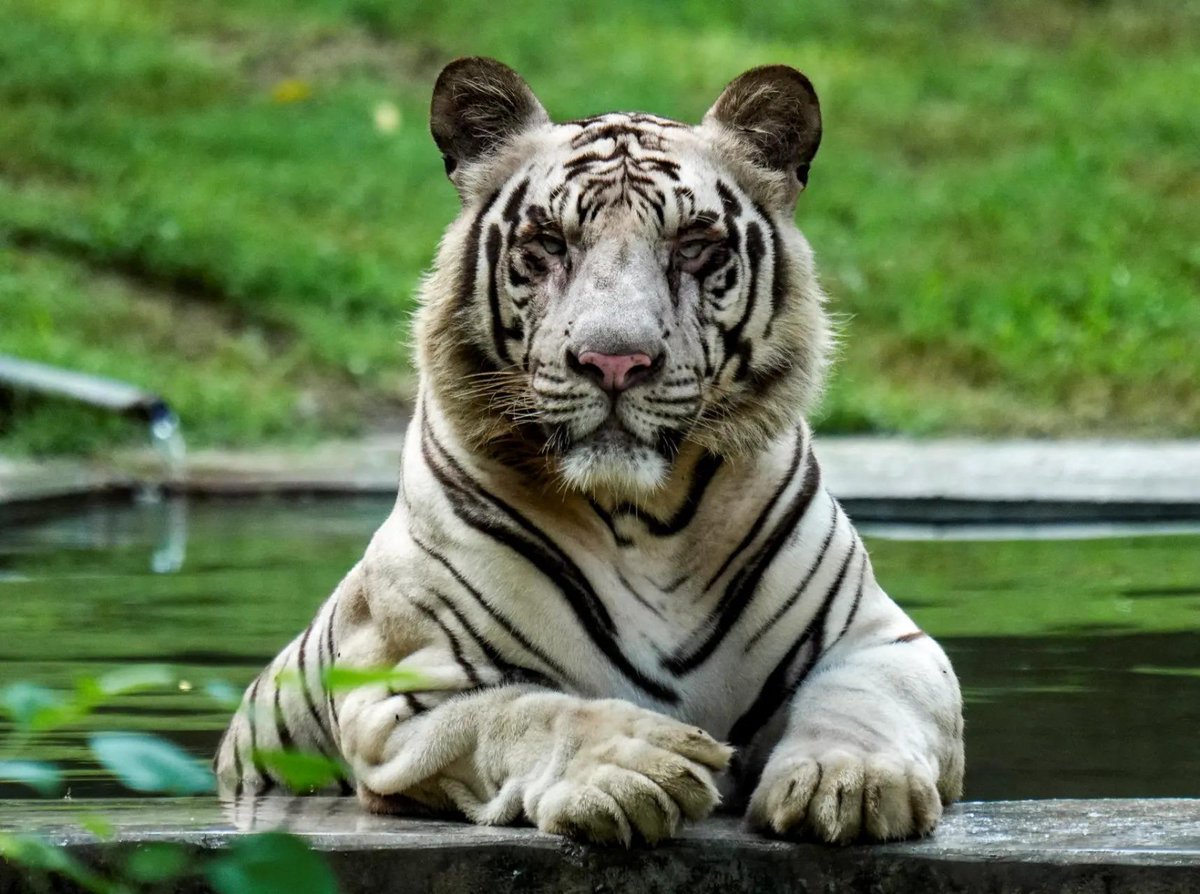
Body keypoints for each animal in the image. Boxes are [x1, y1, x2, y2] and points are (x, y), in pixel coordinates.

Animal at [215, 57, 965, 846]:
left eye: (693, 245)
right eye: (549, 243)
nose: (614, 360)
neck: (649, 520)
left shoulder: (882, 642)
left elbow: (860, 702)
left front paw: (848, 782)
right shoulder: (406, 690)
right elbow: (529, 712)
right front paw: (636, 764)